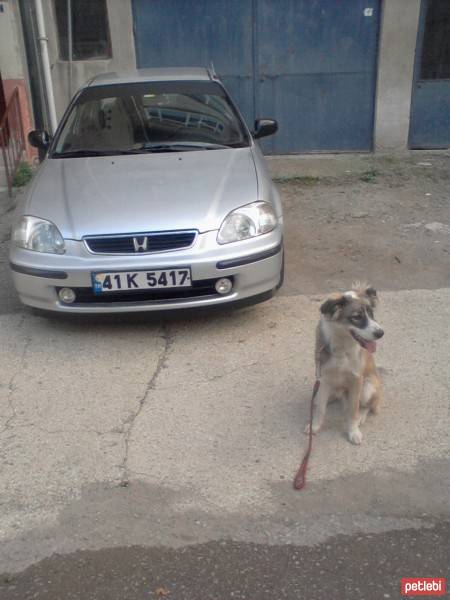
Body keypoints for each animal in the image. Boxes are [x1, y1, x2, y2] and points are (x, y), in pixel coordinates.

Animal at [308, 284, 384, 442]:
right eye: (357, 317)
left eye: (371, 313)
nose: (381, 333)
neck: (341, 345)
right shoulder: (323, 377)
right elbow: (320, 409)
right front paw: (315, 426)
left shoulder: (356, 379)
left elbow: (353, 410)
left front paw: (353, 431)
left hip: (367, 388)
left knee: (368, 406)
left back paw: (361, 416)